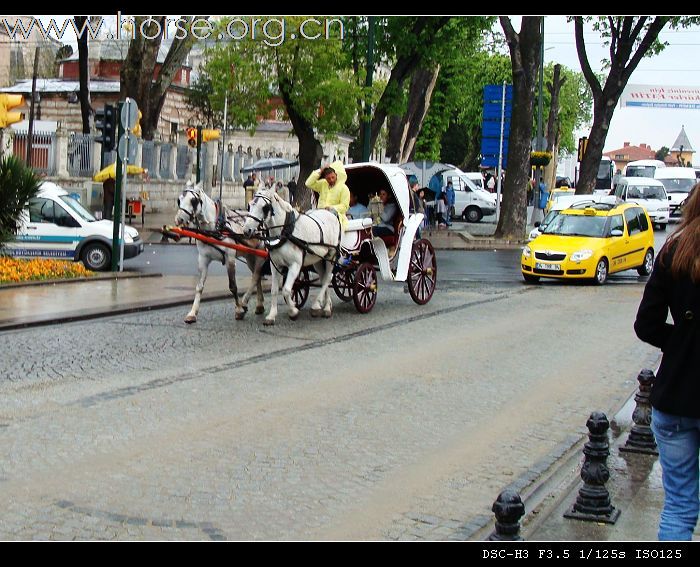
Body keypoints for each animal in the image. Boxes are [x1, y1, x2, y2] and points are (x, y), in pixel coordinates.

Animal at [175, 182, 268, 324]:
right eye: (179, 200)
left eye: (193, 200)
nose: (179, 219)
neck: (214, 228)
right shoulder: (203, 259)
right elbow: (199, 286)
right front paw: (192, 313)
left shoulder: (230, 259)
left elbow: (233, 286)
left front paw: (239, 310)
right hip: (249, 257)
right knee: (256, 277)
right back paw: (259, 305)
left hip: (260, 255)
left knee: (256, 276)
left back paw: (245, 303)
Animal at [243, 187, 342, 326]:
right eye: (250, 204)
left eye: (264, 207)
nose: (246, 230)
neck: (285, 231)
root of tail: (331, 213)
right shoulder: (275, 265)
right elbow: (275, 290)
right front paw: (271, 315)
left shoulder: (295, 265)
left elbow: (286, 290)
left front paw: (293, 311)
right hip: (318, 259)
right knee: (324, 279)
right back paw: (326, 305)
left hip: (331, 255)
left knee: (328, 278)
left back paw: (319, 306)